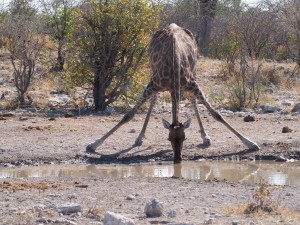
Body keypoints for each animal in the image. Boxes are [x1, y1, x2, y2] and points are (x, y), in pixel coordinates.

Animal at [86, 23, 260, 163]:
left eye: (184, 138)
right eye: (168, 138)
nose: (177, 159)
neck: (173, 61)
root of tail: (173, 25)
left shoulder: (192, 83)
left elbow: (216, 114)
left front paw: (250, 143)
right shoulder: (153, 84)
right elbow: (128, 115)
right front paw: (93, 144)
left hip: (194, 71)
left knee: (192, 100)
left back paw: (205, 137)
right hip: (154, 74)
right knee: (154, 100)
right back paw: (139, 137)